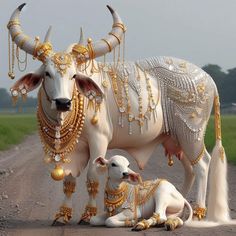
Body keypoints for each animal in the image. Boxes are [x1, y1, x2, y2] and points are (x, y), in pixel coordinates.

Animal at [7, 4, 230, 225]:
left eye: (74, 75)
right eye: (47, 73)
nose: (63, 102)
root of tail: (209, 79)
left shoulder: (99, 140)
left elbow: (92, 177)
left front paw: (87, 214)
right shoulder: (72, 150)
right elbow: (69, 180)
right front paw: (62, 215)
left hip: (191, 132)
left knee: (202, 165)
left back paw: (199, 212)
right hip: (175, 139)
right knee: (189, 170)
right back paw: (180, 207)